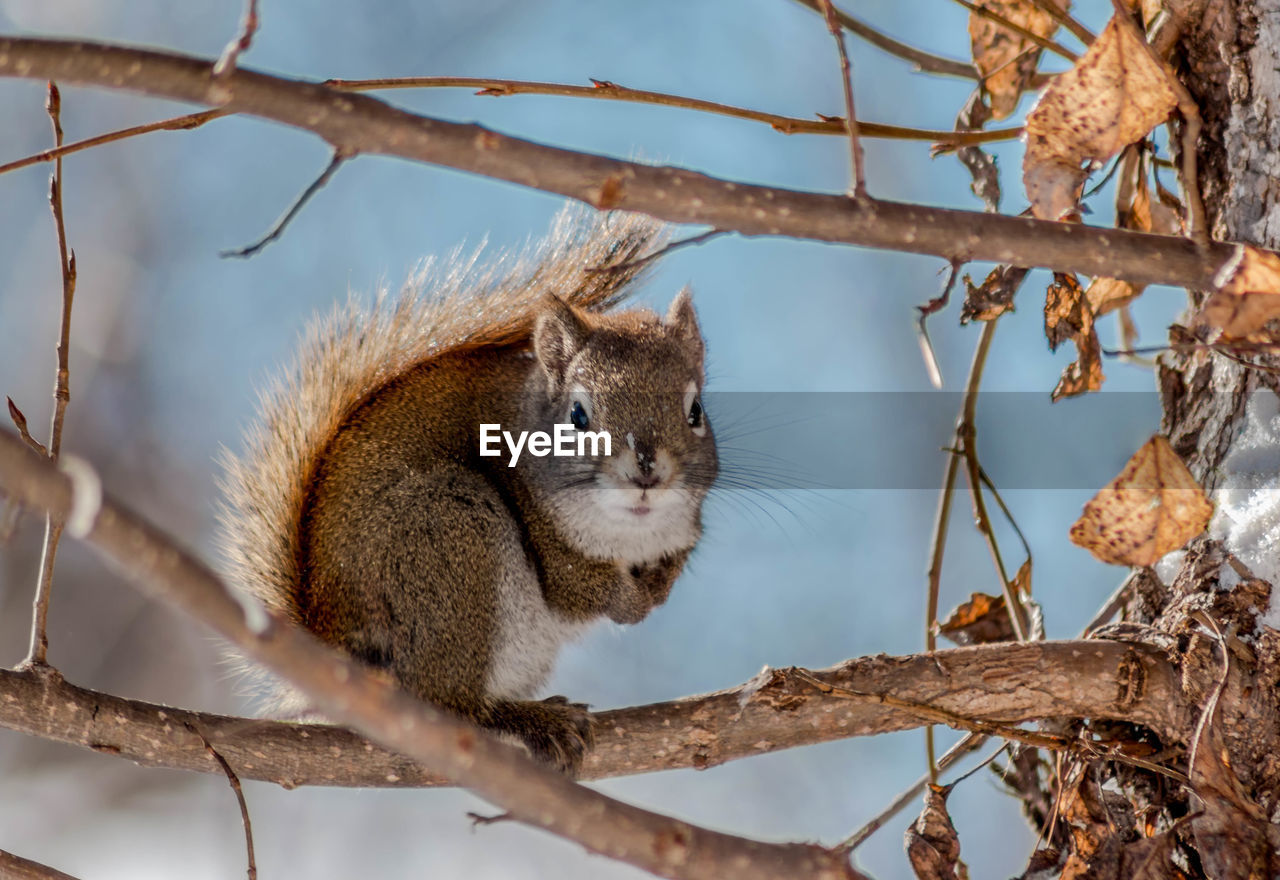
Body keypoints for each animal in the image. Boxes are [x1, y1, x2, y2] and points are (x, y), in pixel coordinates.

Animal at [220, 209, 721, 772]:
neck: (633, 532)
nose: (647, 470)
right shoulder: (545, 533)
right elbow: (577, 590)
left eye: (696, 411)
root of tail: (334, 652)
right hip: (448, 538)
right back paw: (529, 719)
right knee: (448, 703)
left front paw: (664, 577)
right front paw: (633, 601)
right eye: (577, 415)